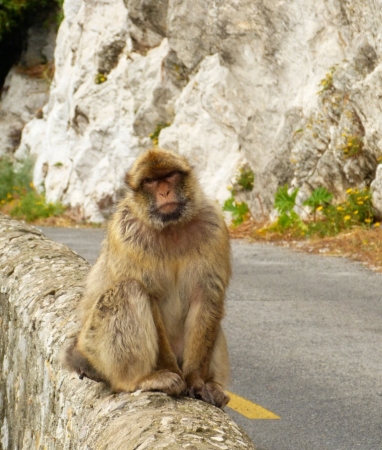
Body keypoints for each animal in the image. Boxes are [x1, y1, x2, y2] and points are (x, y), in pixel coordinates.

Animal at [63, 148, 231, 408]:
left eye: (170, 176)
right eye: (150, 181)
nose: (164, 192)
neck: (171, 229)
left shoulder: (213, 227)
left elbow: (206, 298)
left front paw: (196, 380)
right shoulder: (126, 234)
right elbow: (149, 297)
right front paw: (170, 372)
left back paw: (214, 385)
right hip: (93, 347)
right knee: (128, 289)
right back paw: (138, 379)